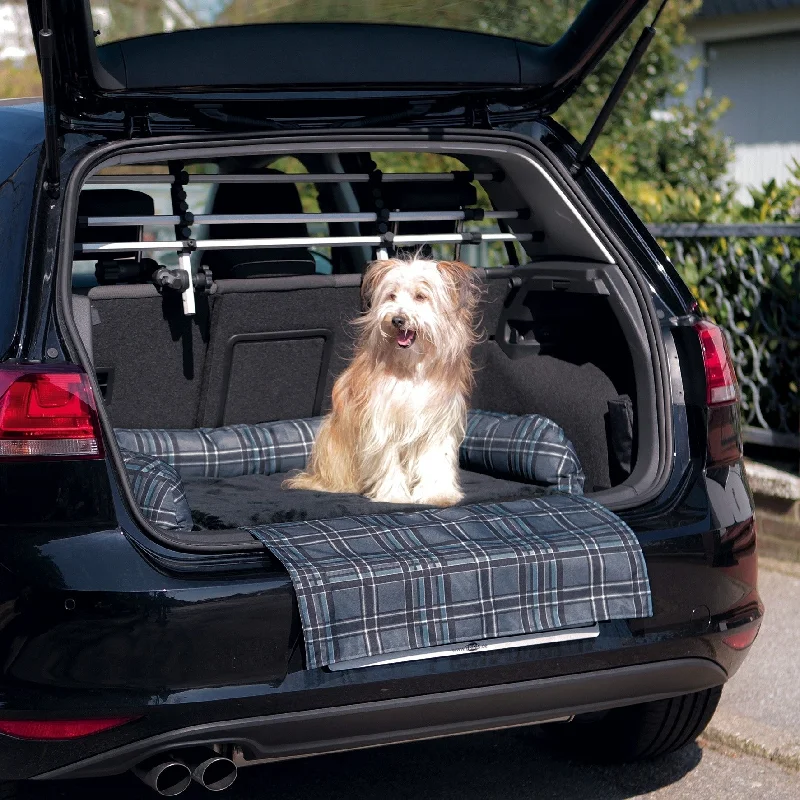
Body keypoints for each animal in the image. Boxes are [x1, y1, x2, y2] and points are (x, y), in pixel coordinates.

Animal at [284, 256, 478, 506]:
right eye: (391, 296)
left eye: (421, 296)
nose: (397, 319)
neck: (411, 369)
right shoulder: (382, 421)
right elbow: (388, 460)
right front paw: (394, 495)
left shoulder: (437, 423)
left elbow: (435, 460)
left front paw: (437, 494)